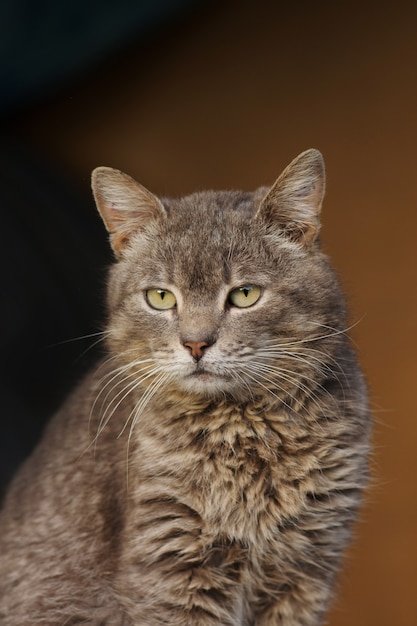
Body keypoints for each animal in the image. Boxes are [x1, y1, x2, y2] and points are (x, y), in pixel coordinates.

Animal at [0, 149, 370, 620]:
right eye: (160, 297)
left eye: (245, 294)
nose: (196, 343)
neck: (244, 430)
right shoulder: (172, 569)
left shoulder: (309, 567)